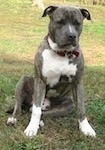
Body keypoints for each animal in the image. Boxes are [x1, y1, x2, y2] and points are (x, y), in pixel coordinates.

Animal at [7, 5, 96, 138]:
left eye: (77, 23)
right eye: (59, 22)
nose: (71, 35)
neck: (61, 52)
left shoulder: (77, 82)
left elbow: (81, 108)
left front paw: (86, 128)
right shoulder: (40, 81)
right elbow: (36, 111)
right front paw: (31, 129)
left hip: (67, 103)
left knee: (42, 112)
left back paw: (40, 122)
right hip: (23, 81)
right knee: (22, 107)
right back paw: (13, 118)